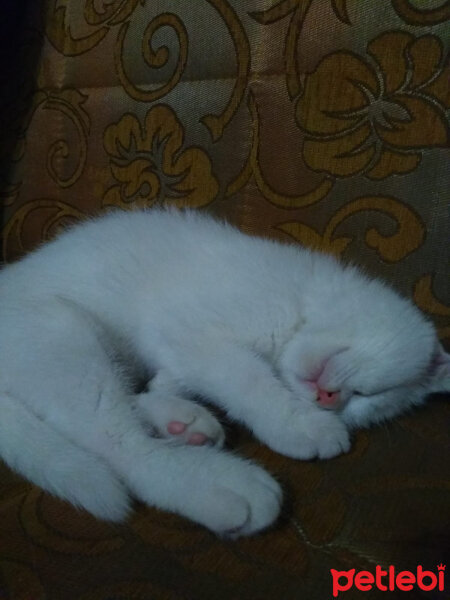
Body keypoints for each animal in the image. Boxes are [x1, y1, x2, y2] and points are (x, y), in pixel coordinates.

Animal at [0, 209, 450, 536]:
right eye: (371, 394)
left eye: (363, 403)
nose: (329, 400)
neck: (303, 299)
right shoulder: (186, 327)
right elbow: (246, 377)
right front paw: (300, 425)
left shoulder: (176, 350)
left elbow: (168, 381)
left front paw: (171, 405)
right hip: (60, 332)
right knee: (118, 444)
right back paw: (221, 486)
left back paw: (184, 425)